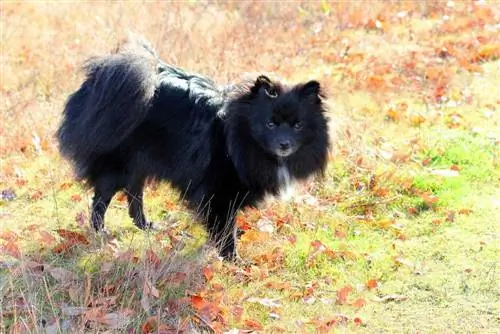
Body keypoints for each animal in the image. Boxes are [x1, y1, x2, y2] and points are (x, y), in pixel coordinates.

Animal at [55, 39, 328, 258]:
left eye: (297, 125)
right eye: (270, 124)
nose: (284, 144)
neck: (238, 137)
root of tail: (96, 79)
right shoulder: (219, 193)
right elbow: (224, 229)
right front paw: (232, 261)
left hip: (141, 160)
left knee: (134, 193)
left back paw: (145, 226)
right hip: (118, 163)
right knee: (102, 199)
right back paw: (100, 231)